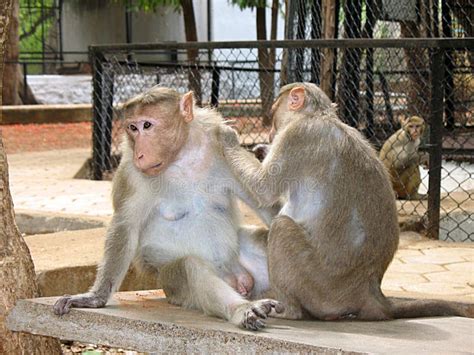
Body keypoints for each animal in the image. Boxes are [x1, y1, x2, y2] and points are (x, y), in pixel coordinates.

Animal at [52, 86, 284, 330]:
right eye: (132, 127)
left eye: (147, 125)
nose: (140, 153)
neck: (181, 156)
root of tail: (238, 281)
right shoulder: (132, 172)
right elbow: (125, 226)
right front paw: (94, 297)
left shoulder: (224, 151)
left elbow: (264, 203)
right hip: (172, 283)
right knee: (189, 268)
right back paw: (242, 309)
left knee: (265, 238)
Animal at [220, 82, 472, 322]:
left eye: (273, 114)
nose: (271, 133)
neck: (317, 116)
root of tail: (370, 289)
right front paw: (261, 149)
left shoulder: (296, 135)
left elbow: (263, 190)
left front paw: (227, 137)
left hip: (321, 287)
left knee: (281, 228)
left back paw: (289, 311)